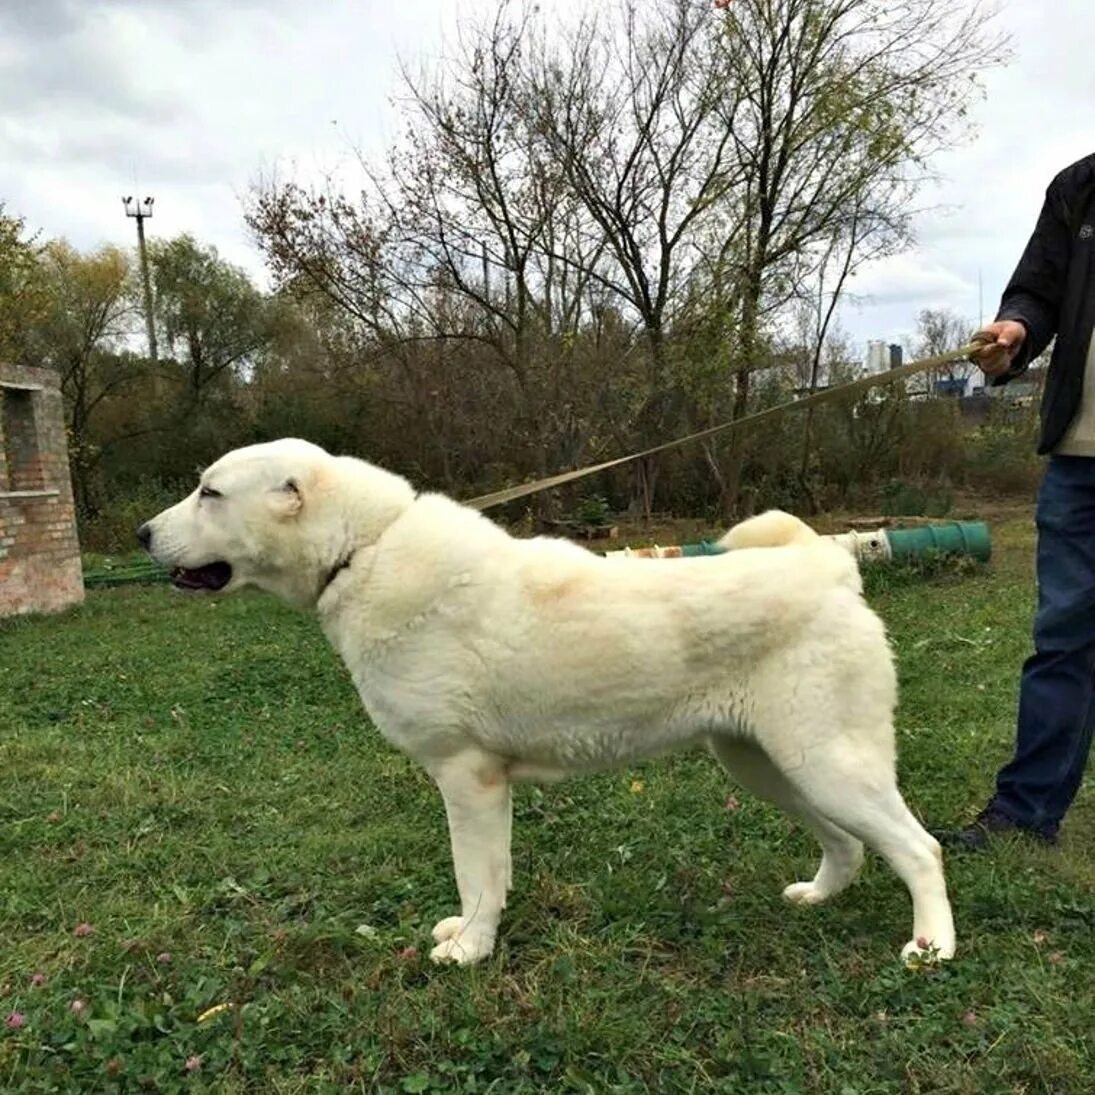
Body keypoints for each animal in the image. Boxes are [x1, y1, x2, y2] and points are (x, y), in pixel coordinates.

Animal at [141, 435, 954, 967]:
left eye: (210, 493)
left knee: (919, 848)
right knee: (848, 843)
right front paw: (474, 937)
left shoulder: (466, 776)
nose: (143, 533)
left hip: (827, 763)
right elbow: (492, 873)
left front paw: (470, 950)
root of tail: (825, 567)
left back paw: (931, 946)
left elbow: (474, 874)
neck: (359, 551)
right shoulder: (480, 783)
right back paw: (819, 897)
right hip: (766, 765)